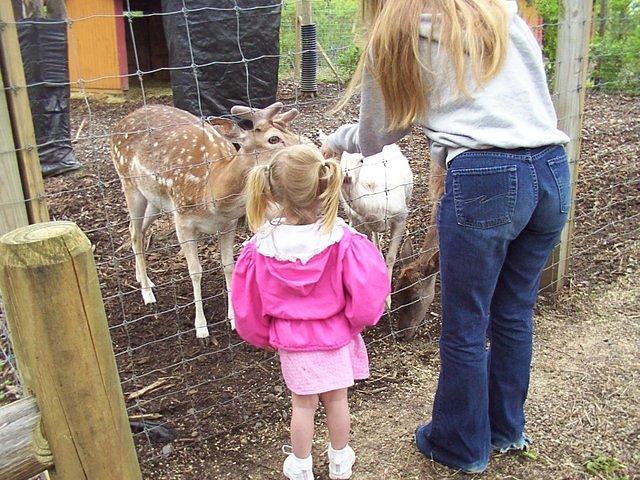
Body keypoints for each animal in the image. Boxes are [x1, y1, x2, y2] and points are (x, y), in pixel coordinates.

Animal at [112, 102, 302, 342]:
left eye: (294, 134)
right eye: (274, 139)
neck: (213, 195)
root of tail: (121, 122)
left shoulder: (228, 224)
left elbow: (228, 265)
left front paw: (233, 319)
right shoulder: (182, 220)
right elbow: (195, 271)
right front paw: (201, 328)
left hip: (154, 200)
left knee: (138, 230)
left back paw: (141, 277)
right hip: (129, 184)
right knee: (135, 232)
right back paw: (147, 293)